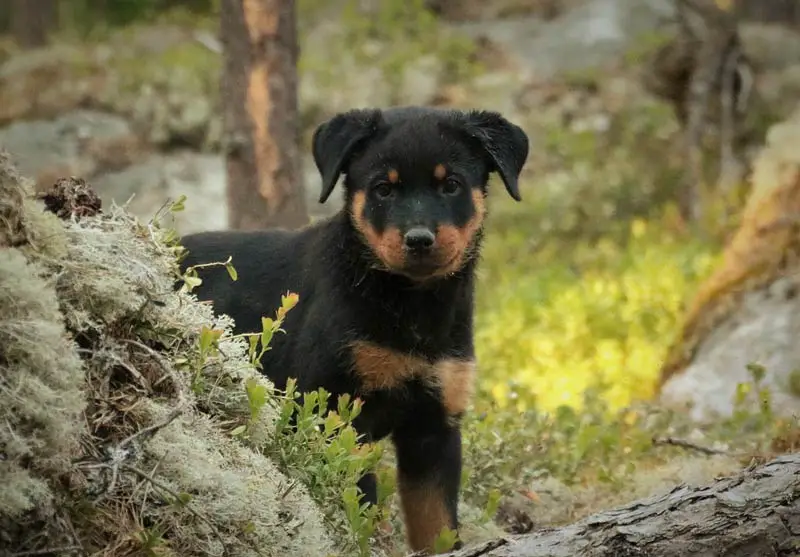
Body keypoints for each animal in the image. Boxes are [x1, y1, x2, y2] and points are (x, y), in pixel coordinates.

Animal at [180, 105, 532, 552]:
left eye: (451, 185)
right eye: (384, 189)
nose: (419, 239)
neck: (411, 306)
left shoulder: (434, 428)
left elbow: (436, 526)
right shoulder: (335, 413)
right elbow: (356, 508)